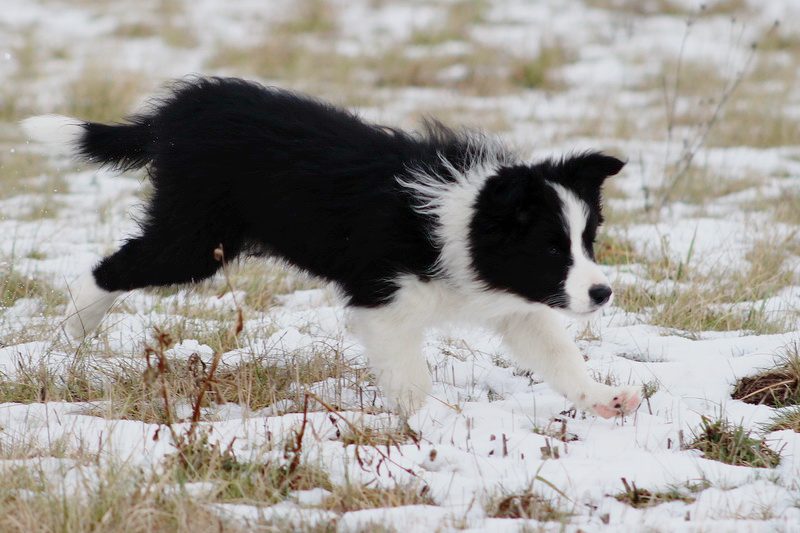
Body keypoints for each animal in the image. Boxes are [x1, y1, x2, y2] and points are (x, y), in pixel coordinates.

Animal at [21, 76, 640, 416]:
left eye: (587, 241)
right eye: (552, 249)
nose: (603, 293)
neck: (462, 217)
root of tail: (175, 115)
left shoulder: (516, 302)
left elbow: (557, 351)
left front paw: (603, 399)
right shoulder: (385, 302)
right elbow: (410, 378)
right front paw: (435, 425)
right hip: (194, 240)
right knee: (110, 268)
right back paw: (69, 334)